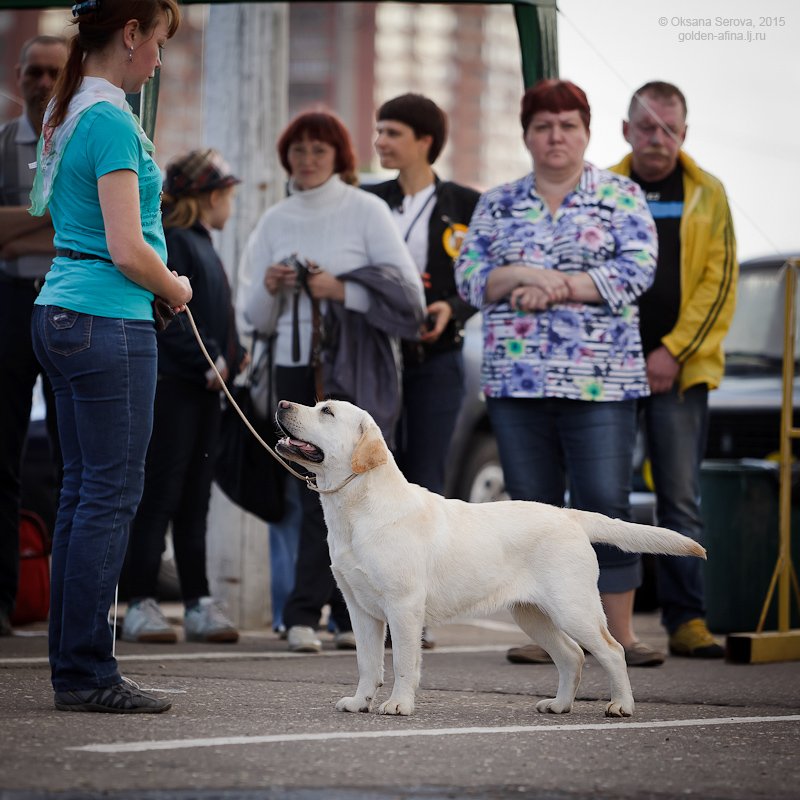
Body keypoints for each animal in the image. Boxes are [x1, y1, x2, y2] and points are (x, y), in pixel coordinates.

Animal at [276, 400, 708, 720]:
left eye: (327, 412)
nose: (281, 403)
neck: (357, 511)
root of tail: (570, 515)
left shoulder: (403, 607)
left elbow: (403, 662)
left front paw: (399, 704)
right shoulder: (360, 608)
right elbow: (368, 663)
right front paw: (360, 701)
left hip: (574, 608)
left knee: (612, 650)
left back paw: (621, 706)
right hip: (532, 614)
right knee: (572, 655)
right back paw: (559, 705)